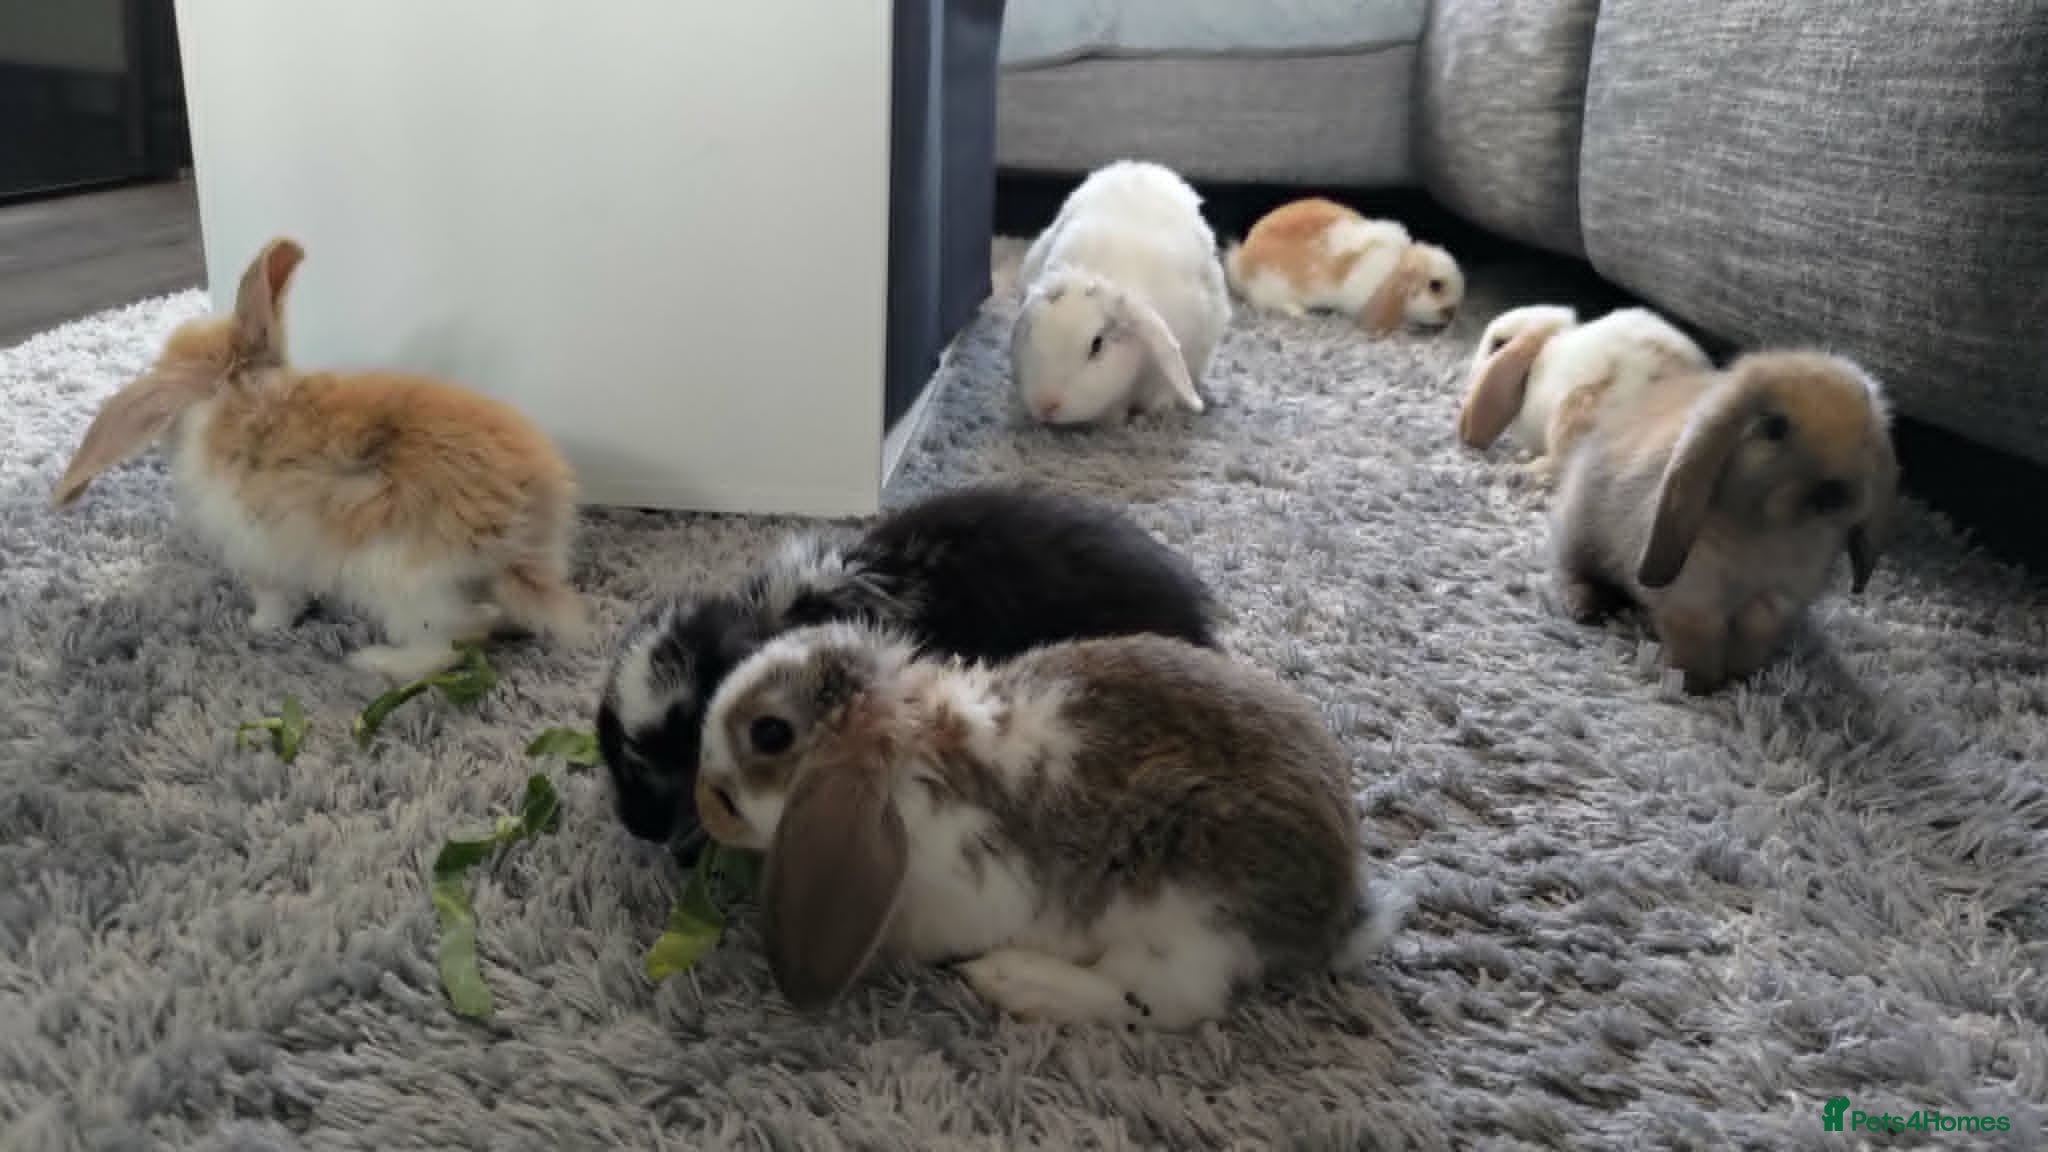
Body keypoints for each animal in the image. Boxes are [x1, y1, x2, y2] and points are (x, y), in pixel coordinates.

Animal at [49, 236, 589, 684]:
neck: (235, 393)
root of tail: (524, 540)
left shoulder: (260, 553)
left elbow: (274, 597)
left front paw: (258, 627)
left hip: (402, 585)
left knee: (459, 639)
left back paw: (372, 661)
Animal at [693, 619, 1414, 1029]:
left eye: (770, 732)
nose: (704, 805)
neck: (907, 759)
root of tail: (1336, 916)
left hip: (1189, 909)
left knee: (1157, 1003)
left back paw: (1014, 983)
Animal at [1222, 197, 1464, 337]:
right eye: (1435, 285)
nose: (1451, 314)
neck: (1390, 272)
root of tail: (1241, 265)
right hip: (1275, 287)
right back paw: (1300, 313)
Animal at [1549, 348, 1901, 695]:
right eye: (1774, 427)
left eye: (1865, 436)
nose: (1833, 493)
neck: (1764, 532)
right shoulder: (1692, 596)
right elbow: (1696, 639)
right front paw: (1695, 685)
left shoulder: (1772, 602)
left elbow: (1752, 637)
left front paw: (1742, 679)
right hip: (1579, 536)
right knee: (1574, 572)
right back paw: (1585, 609)